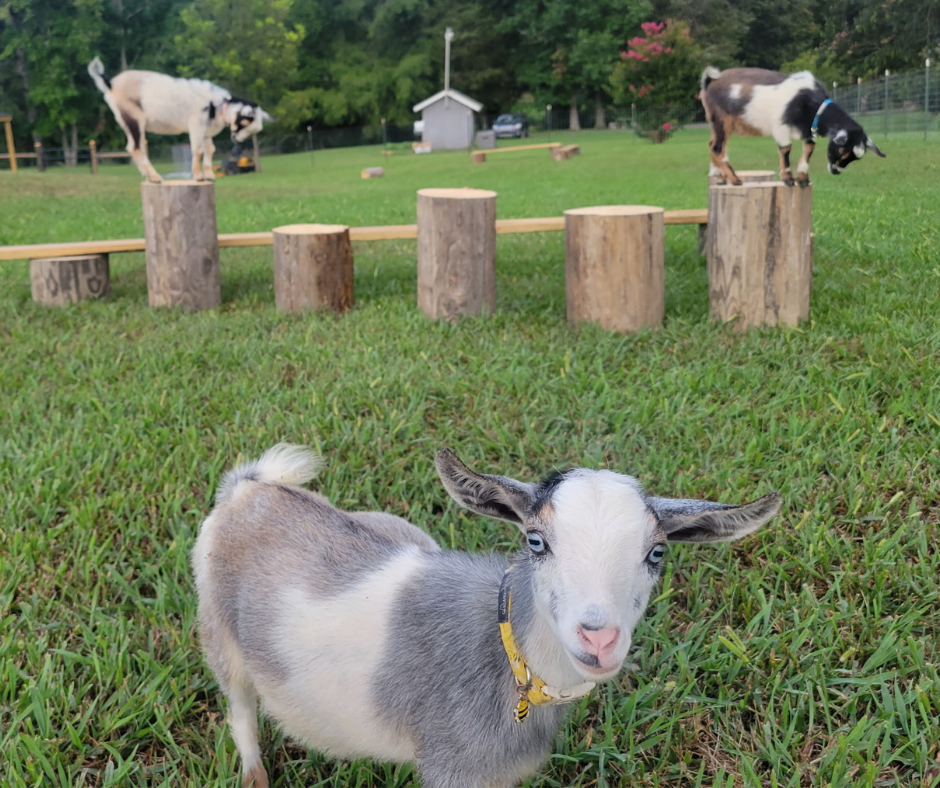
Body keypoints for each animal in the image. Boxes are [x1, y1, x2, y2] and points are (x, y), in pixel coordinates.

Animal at [87, 57, 271, 183]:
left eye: (254, 129)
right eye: (245, 122)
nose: (237, 140)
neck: (217, 106)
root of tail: (110, 84)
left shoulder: (206, 131)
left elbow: (210, 150)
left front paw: (210, 176)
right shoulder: (196, 124)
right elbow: (197, 150)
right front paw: (198, 176)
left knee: (133, 148)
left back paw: (149, 177)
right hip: (133, 118)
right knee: (136, 148)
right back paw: (155, 177)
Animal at [194, 444, 781, 788]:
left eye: (657, 553)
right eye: (536, 541)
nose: (598, 638)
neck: (505, 656)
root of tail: (251, 490)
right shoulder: (450, 767)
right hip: (219, 633)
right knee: (241, 711)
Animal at [700, 66, 885, 187]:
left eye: (856, 157)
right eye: (841, 150)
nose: (836, 171)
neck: (810, 102)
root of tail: (710, 81)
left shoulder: (807, 129)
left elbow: (809, 147)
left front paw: (802, 178)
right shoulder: (781, 126)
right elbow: (786, 149)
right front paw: (788, 179)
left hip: (719, 124)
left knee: (712, 145)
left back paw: (720, 178)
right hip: (722, 119)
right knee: (717, 148)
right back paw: (734, 179)